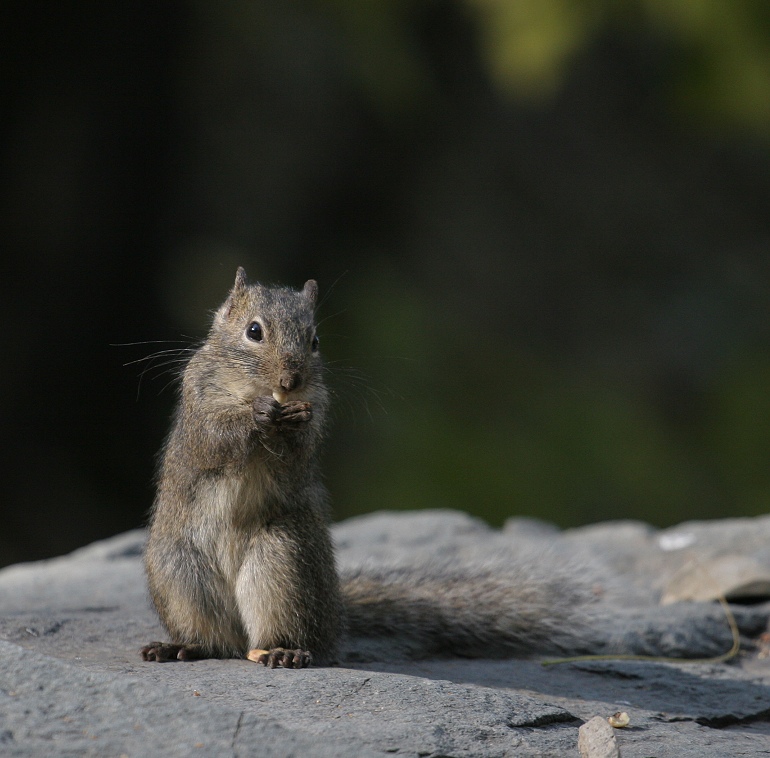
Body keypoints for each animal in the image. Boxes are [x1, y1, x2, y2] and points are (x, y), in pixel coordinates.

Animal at [141, 268, 604, 672]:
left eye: (315, 341)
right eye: (254, 331)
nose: (291, 381)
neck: (255, 391)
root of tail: (336, 617)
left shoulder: (317, 410)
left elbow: (298, 451)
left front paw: (291, 423)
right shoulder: (197, 402)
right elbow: (215, 438)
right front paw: (256, 415)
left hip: (283, 559)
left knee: (280, 631)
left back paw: (283, 651)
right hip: (179, 572)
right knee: (214, 640)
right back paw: (182, 647)